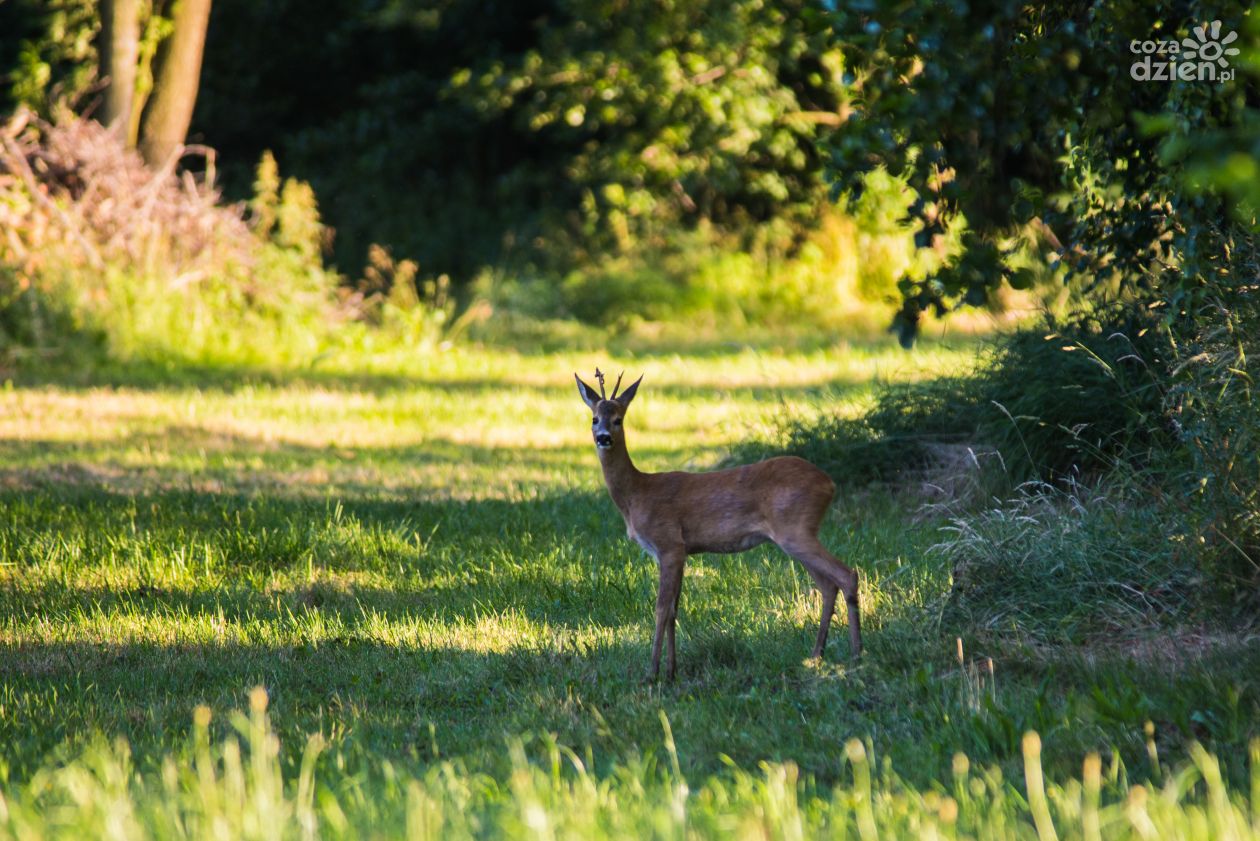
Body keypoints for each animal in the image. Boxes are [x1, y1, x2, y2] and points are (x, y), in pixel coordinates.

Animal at [577, 365, 861, 675]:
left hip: (795, 529)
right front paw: (672, 670)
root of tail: (829, 484)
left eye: (618, 420)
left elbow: (661, 609)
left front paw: (652, 672)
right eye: (594, 418)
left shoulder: (669, 543)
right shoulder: (680, 551)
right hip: (799, 534)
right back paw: (816, 655)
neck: (637, 493)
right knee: (827, 585)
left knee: (846, 575)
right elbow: (674, 609)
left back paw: (857, 652)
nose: (603, 437)